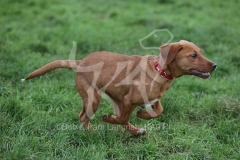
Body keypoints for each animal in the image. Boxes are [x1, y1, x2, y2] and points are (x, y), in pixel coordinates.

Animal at [23, 39, 218, 135]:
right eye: (193, 55)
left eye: (200, 53)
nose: (215, 65)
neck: (160, 71)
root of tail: (80, 62)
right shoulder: (130, 100)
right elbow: (123, 118)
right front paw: (109, 120)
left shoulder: (152, 99)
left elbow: (158, 111)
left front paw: (143, 114)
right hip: (94, 98)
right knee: (84, 116)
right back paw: (93, 132)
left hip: (115, 98)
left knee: (108, 116)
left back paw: (136, 131)